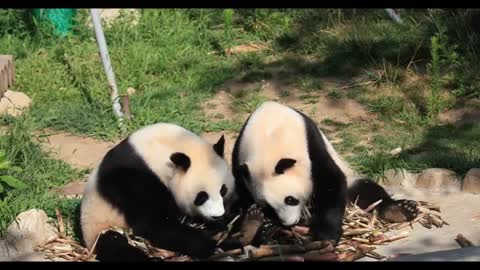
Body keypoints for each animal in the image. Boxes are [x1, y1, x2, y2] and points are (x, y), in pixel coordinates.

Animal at [81, 123, 239, 260]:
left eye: (223, 191)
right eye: (201, 196)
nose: (217, 216)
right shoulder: (135, 181)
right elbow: (153, 225)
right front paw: (207, 245)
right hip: (102, 225)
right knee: (118, 247)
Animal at [231, 101, 418, 245]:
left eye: (290, 199)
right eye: (268, 206)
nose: (290, 223)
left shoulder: (311, 144)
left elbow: (330, 181)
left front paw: (326, 236)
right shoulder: (240, 161)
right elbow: (243, 197)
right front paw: (259, 221)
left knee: (366, 190)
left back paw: (401, 210)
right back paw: (256, 228)